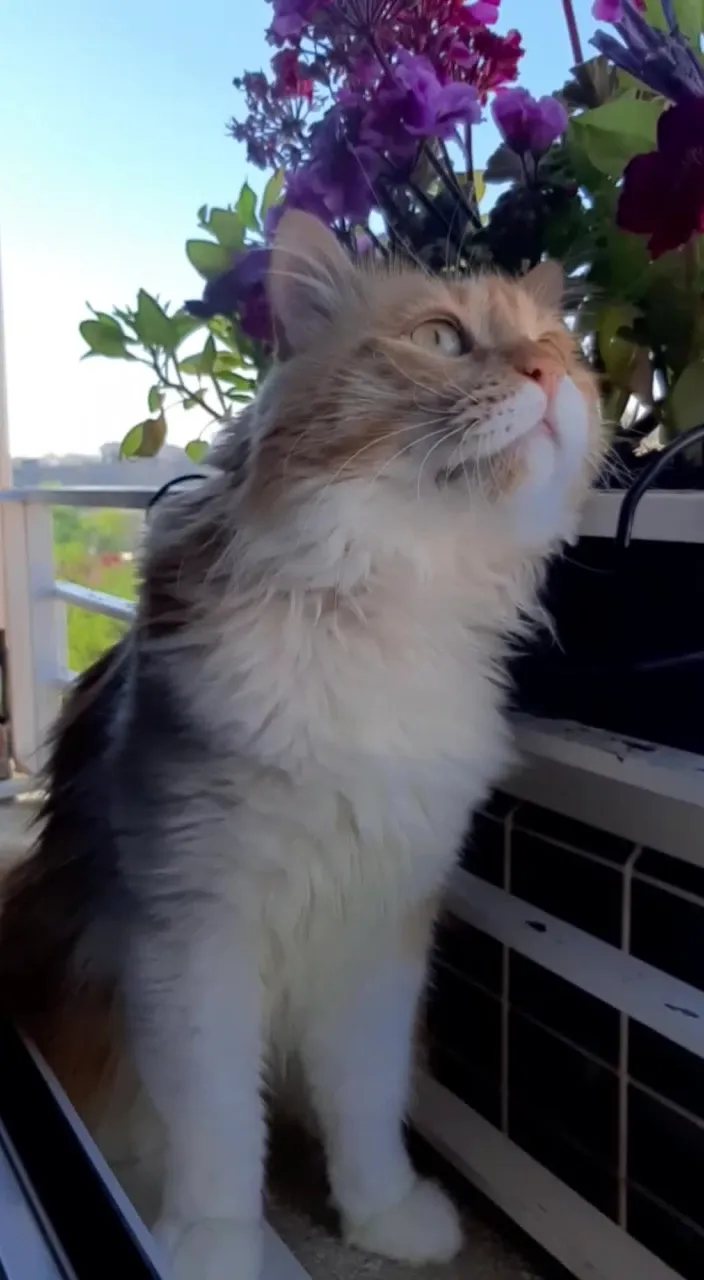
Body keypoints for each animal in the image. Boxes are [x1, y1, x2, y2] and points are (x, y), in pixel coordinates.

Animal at [0, 212, 604, 1280]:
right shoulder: (192, 934)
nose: (544, 372)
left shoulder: (381, 930)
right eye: (443, 337)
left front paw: (384, 1218)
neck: (387, 605)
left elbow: (366, 1107)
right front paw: (214, 1247)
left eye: (558, 349)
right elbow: (215, 1129)